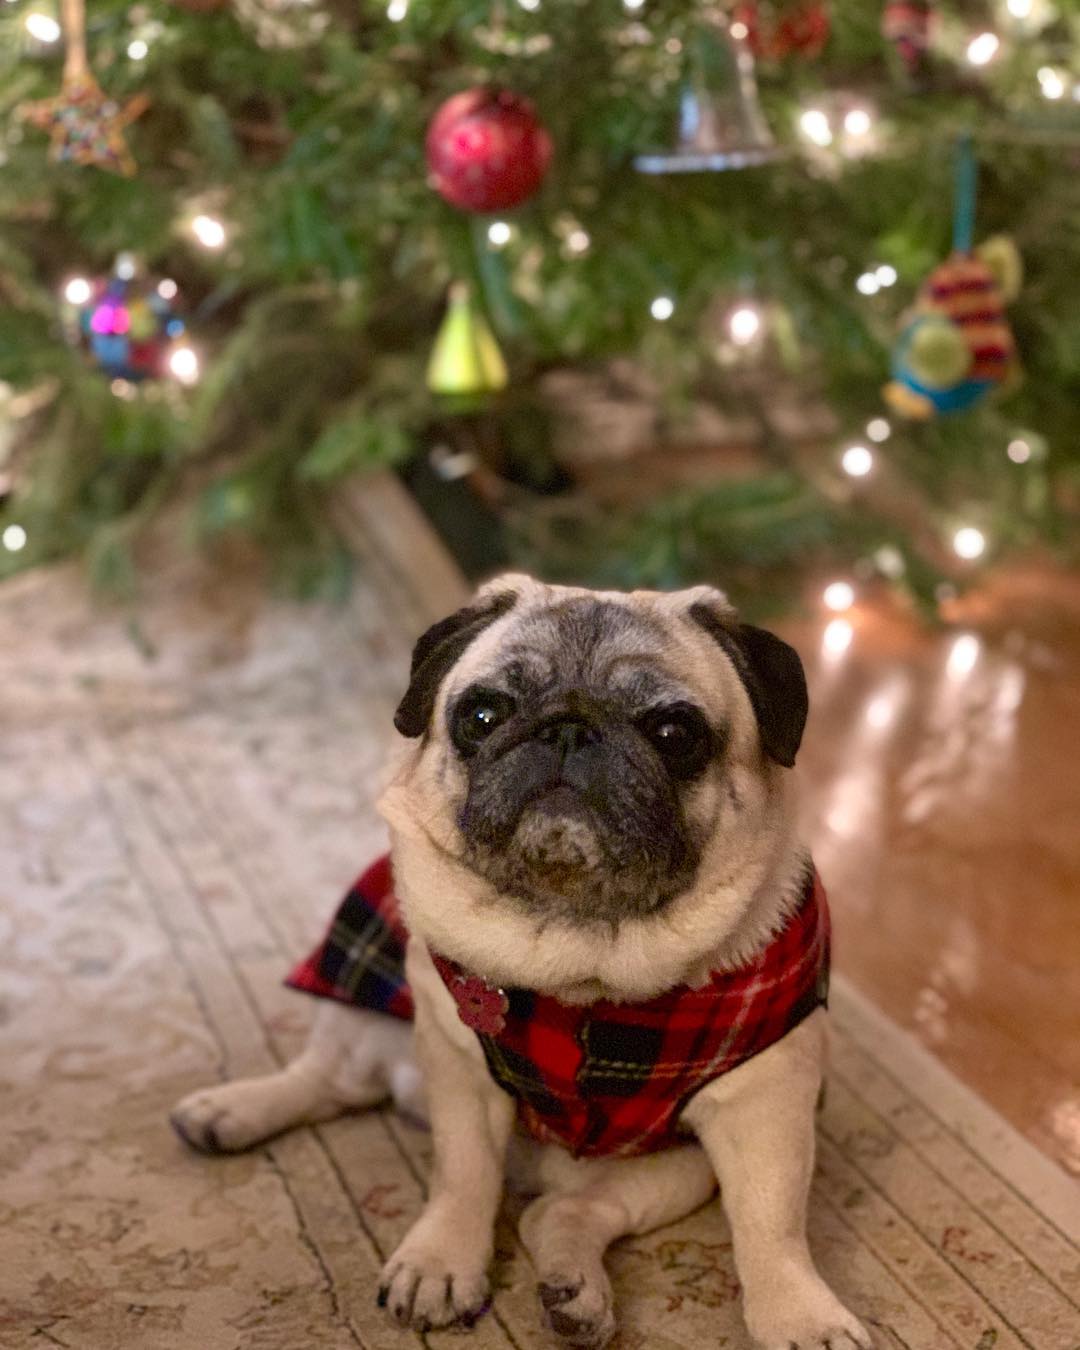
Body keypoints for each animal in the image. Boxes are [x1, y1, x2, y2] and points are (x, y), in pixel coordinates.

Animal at [172, 574, 872, 1350]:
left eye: (674, 733)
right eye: (482, 715)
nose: (567, 728)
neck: (580, 950)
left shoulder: (764, 1105)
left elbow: (772, 1223)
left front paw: (800, 1314)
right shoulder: (459, 1069)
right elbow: (462, 1176)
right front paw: (442, 1263)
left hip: (674, 1168)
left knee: (559, 1214)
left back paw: (577, 1294)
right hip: (372, 1030)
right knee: (325, 1079)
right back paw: (229, 1111)